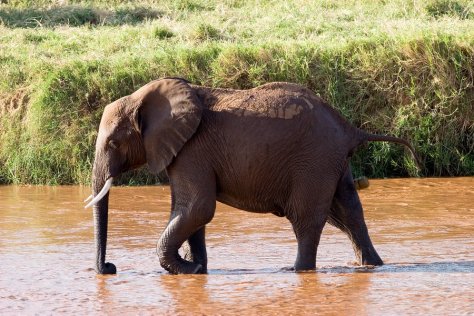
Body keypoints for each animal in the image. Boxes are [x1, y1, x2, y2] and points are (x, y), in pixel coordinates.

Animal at [85, 77, 418, 274]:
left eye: (113, 143)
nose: (110, 268)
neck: (142, 96)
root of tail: (349, 128)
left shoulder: (192, 149)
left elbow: (197, 208)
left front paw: (188, 269)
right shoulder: (181, 152)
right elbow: (190, 212)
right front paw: (198, 269)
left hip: (314, 161)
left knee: (306, 218)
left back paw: (297, 271)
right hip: (332, 162)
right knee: (348, 210)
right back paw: (372, 265)